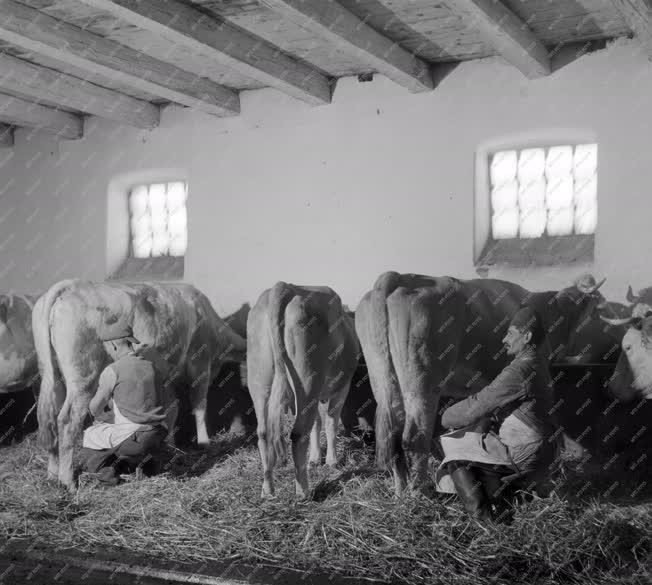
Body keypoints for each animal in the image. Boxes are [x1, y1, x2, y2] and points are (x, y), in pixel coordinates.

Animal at [33, 278, 247, 488]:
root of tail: (68, 285)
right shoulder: (199, 361)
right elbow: (199, 404)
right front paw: (204, 442)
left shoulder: (171, 376)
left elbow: (175, 407)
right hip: (84, 377)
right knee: (67, 420)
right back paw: (68, 482)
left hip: (52, 374)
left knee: (50, 419)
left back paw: (52, 475)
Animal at [247, 282, 360, 498]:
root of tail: (284, 286)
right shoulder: (342, 387)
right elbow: (330, 422)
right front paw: (331, 461)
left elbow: (316, 422)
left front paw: (315, 459)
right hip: (308, 382)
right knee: (299, 434)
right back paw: (303, 492)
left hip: (260, 382)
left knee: (264, 433)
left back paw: (267, 490)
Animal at [354, 270, 608, 492]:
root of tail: (397, 277)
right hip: (421, 385)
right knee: (414, 437)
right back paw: (420, 492)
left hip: (384, 381)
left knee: (393, 436)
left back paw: (401, 492)